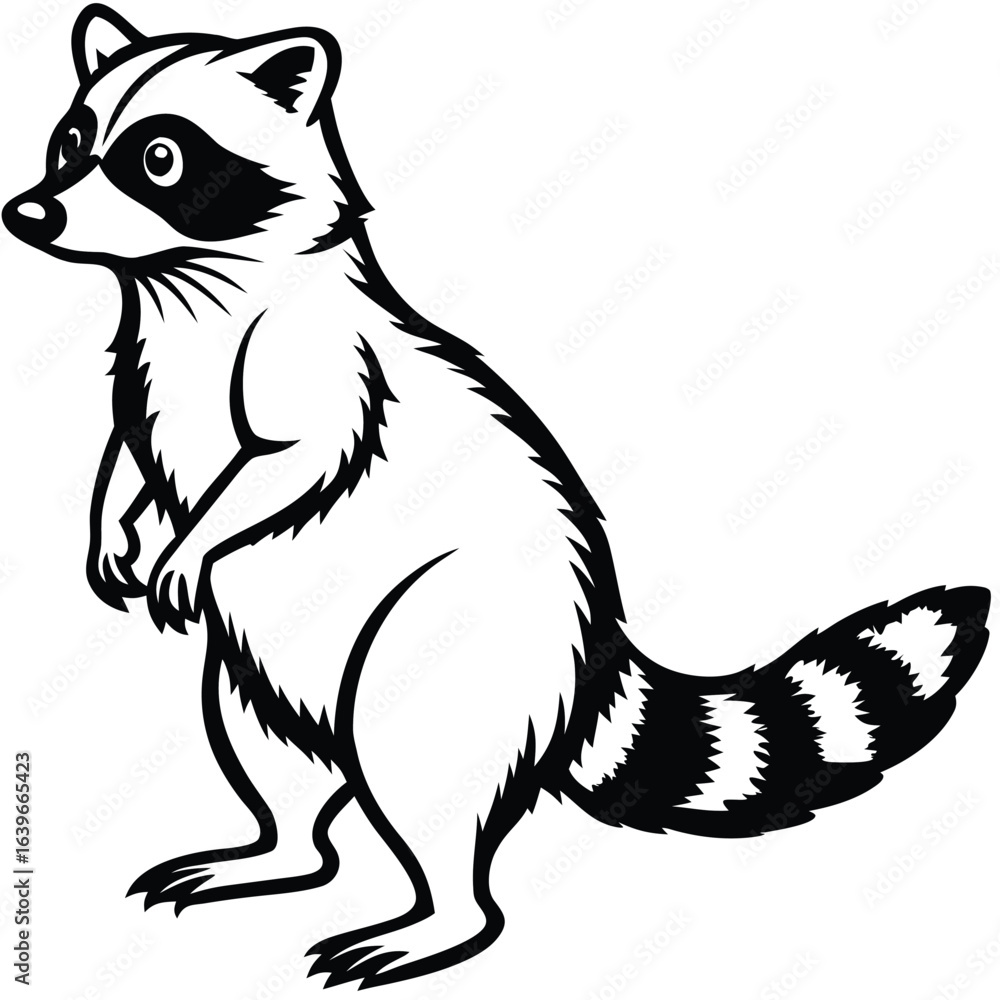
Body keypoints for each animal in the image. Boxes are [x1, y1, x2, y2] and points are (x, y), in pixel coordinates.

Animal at [2, 4, 991, 989]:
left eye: (159, 157)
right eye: (71, 139)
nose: (29, 212)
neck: (181, 276)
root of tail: (592, 641)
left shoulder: (321, 356)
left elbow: (291, 461)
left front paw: (193, 538)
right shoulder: (144, 365)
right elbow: (130, 451)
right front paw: (116, 525)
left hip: (457, 645)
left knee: (421, 771)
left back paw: (438, 918)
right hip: (257, 679)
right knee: (271, 759)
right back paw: (278, 849)